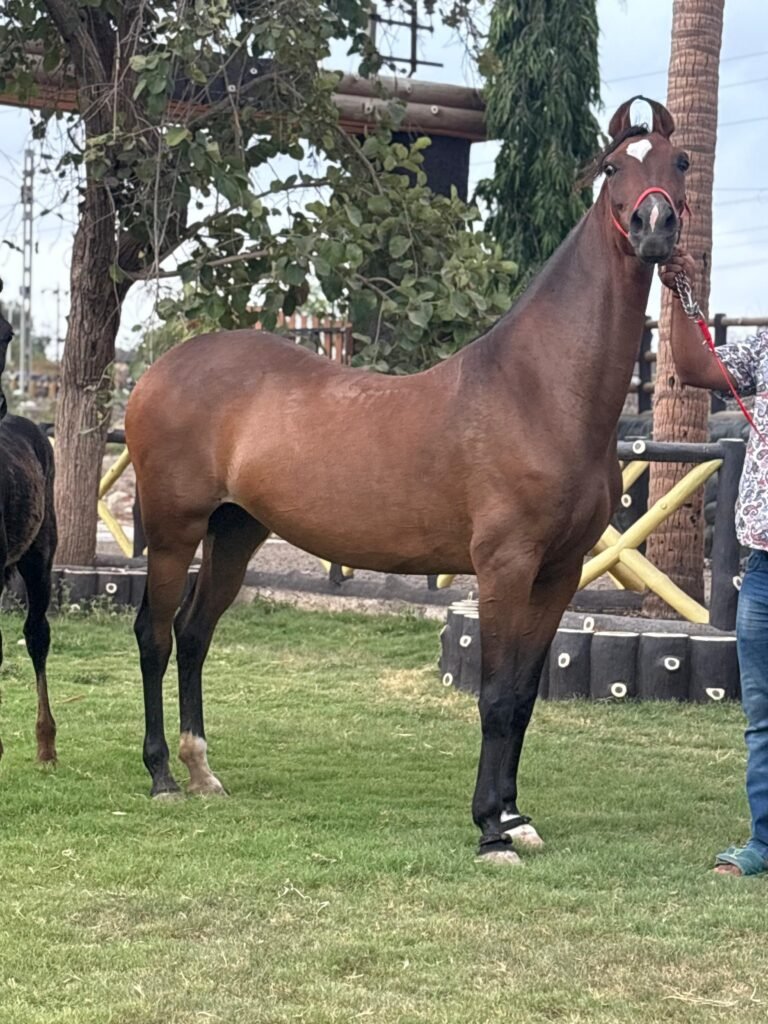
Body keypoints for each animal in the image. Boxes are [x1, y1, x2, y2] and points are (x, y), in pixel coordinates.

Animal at [125, 97, 689, 863]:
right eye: (611, 169)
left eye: (680, 162)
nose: (655, 226)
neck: (539, 390)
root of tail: (159, 369)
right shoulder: (505, 567)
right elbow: (495, 696)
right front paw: (490, 832)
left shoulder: (560, 571)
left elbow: (524, 696)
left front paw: (514, 815)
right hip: (174, 531)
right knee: (154, 634)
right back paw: (159, 776)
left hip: (235, 533)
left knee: (193, 633)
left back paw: (201, 771)